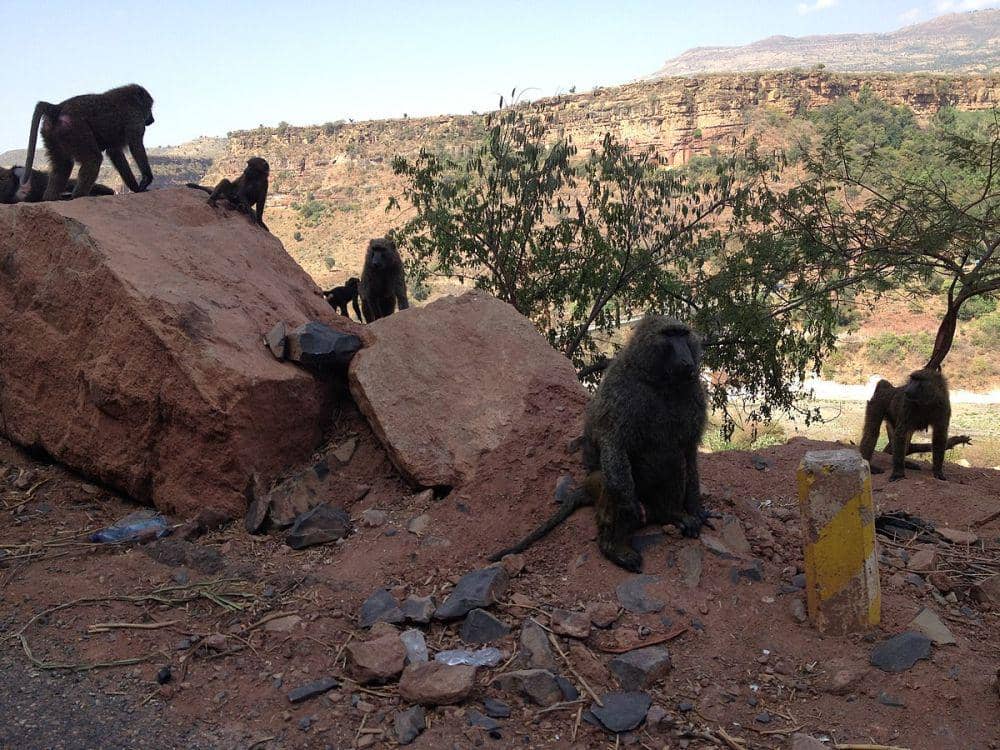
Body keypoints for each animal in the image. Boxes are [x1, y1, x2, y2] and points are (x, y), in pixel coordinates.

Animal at [19, 84, 154, 202]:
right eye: (150, 107)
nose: (152, 119)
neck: (131, 99)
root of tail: (57, 107)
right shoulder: (135, 118)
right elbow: (136, 146)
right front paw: (146, 179)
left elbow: (115, 152)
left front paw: (136, 188)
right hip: (74, 128)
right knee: (93, 159)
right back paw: (79, 196)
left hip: (51, 133)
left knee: (63, 166)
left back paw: (51, 198)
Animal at [490, 316, 710, 572]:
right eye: (669, 335)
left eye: (683, 335)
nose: (686, 361)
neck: (661, 383)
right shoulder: (621, 389)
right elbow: (614, 443)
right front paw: (628, 509)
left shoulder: (693, 392)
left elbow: (688, 451)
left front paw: (695, 509)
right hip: (599, 483)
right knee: (612, 481)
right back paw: (615, 547)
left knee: (675, 460)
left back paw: (673, 515)